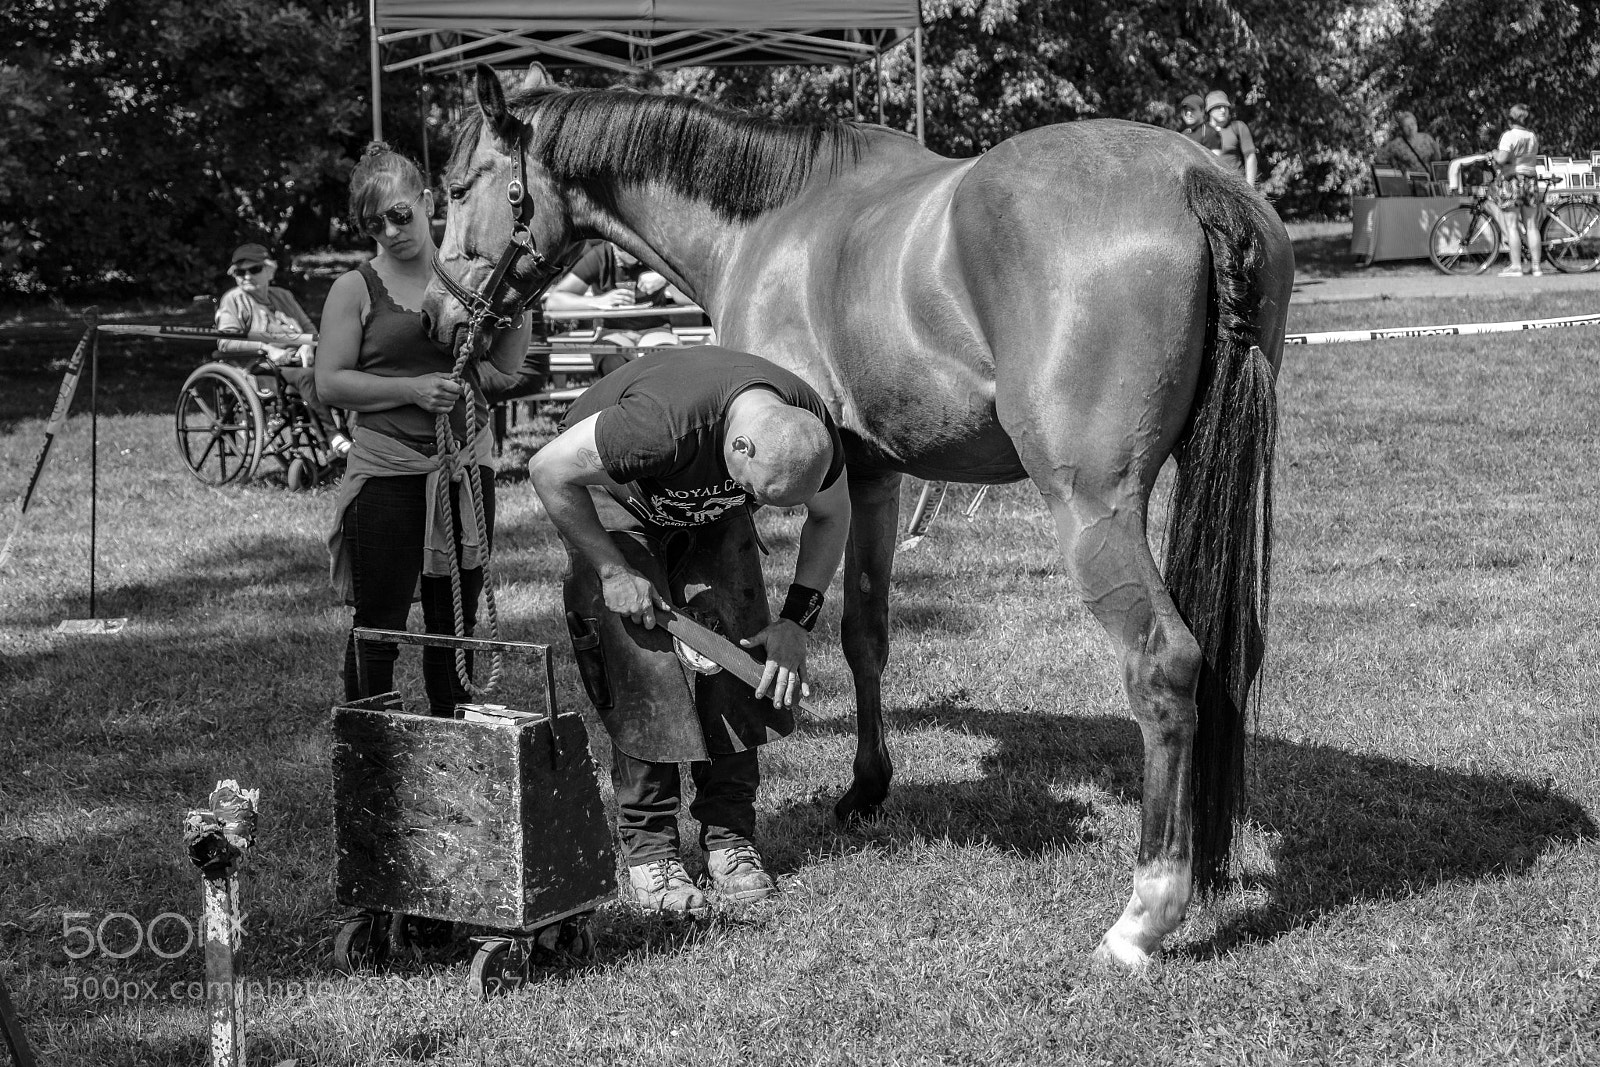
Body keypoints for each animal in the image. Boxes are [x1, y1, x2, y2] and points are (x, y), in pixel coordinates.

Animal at [422, 65, 1294, 970]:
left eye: (458, 186)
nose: (439, 318)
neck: (771, 218)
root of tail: (1193, 177)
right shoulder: (873, 478)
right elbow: (865, 632)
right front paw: (868, 785)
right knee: (1228, 653)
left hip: (1093, 505)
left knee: (1164, 662)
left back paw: (1145, 913)